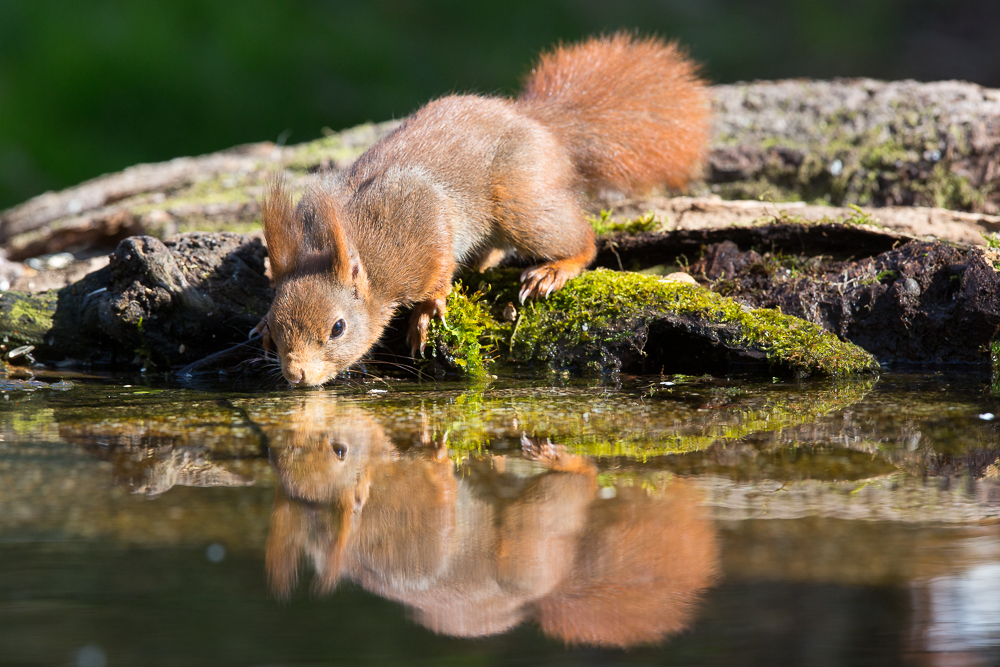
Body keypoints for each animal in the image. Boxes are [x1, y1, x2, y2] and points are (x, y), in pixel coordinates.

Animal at [258, 32, 712, 386]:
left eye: (338, 328)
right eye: (277, 325)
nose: (297, 375)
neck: (363, 260)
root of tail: (542, 124)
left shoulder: (421, 220)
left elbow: (439, 267)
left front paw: (427, 312)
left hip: (520, 203)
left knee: (580, 240)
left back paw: (554, 270)